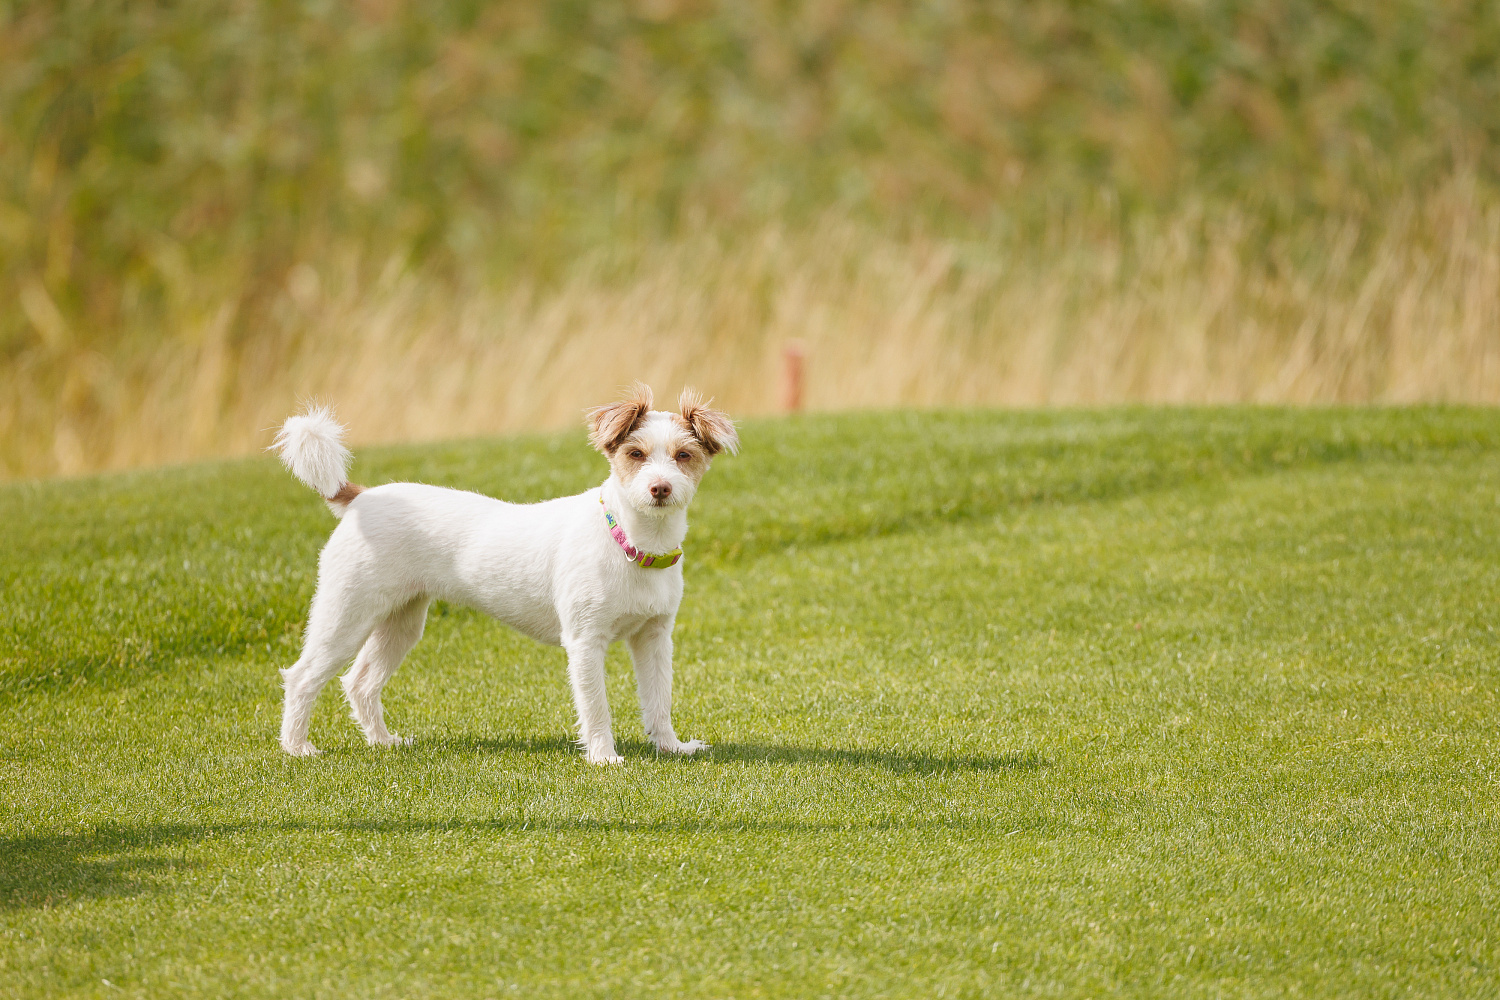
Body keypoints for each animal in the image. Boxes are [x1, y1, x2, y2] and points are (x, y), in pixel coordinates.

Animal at [274, 386, 738, 767]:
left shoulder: (654, 637)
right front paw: (604, 756)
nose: (660, 488)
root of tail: (361, 498)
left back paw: (383, 741)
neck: (630, 542)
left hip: (401, 620)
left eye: (684, 456)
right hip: (346, 612)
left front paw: (670, 747)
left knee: (361, 683)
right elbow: (596, 707)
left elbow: (659, 699)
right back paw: (297, 747)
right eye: (635, 454)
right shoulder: (585, 642)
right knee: (302, 677)